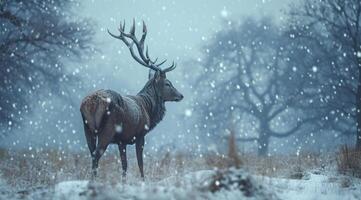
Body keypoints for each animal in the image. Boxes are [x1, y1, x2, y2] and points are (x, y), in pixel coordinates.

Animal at [81, 19, 183, 180]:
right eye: (168, 83)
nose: (180, 95)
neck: (148, 109)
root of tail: (91, 104)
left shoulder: (121, 140)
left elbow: (124, 165)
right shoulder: (140, 134)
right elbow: (140, 163)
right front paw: (142, 181)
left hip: (87, 128)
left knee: (91, 154)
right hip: (108, 130)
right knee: (96, 155)